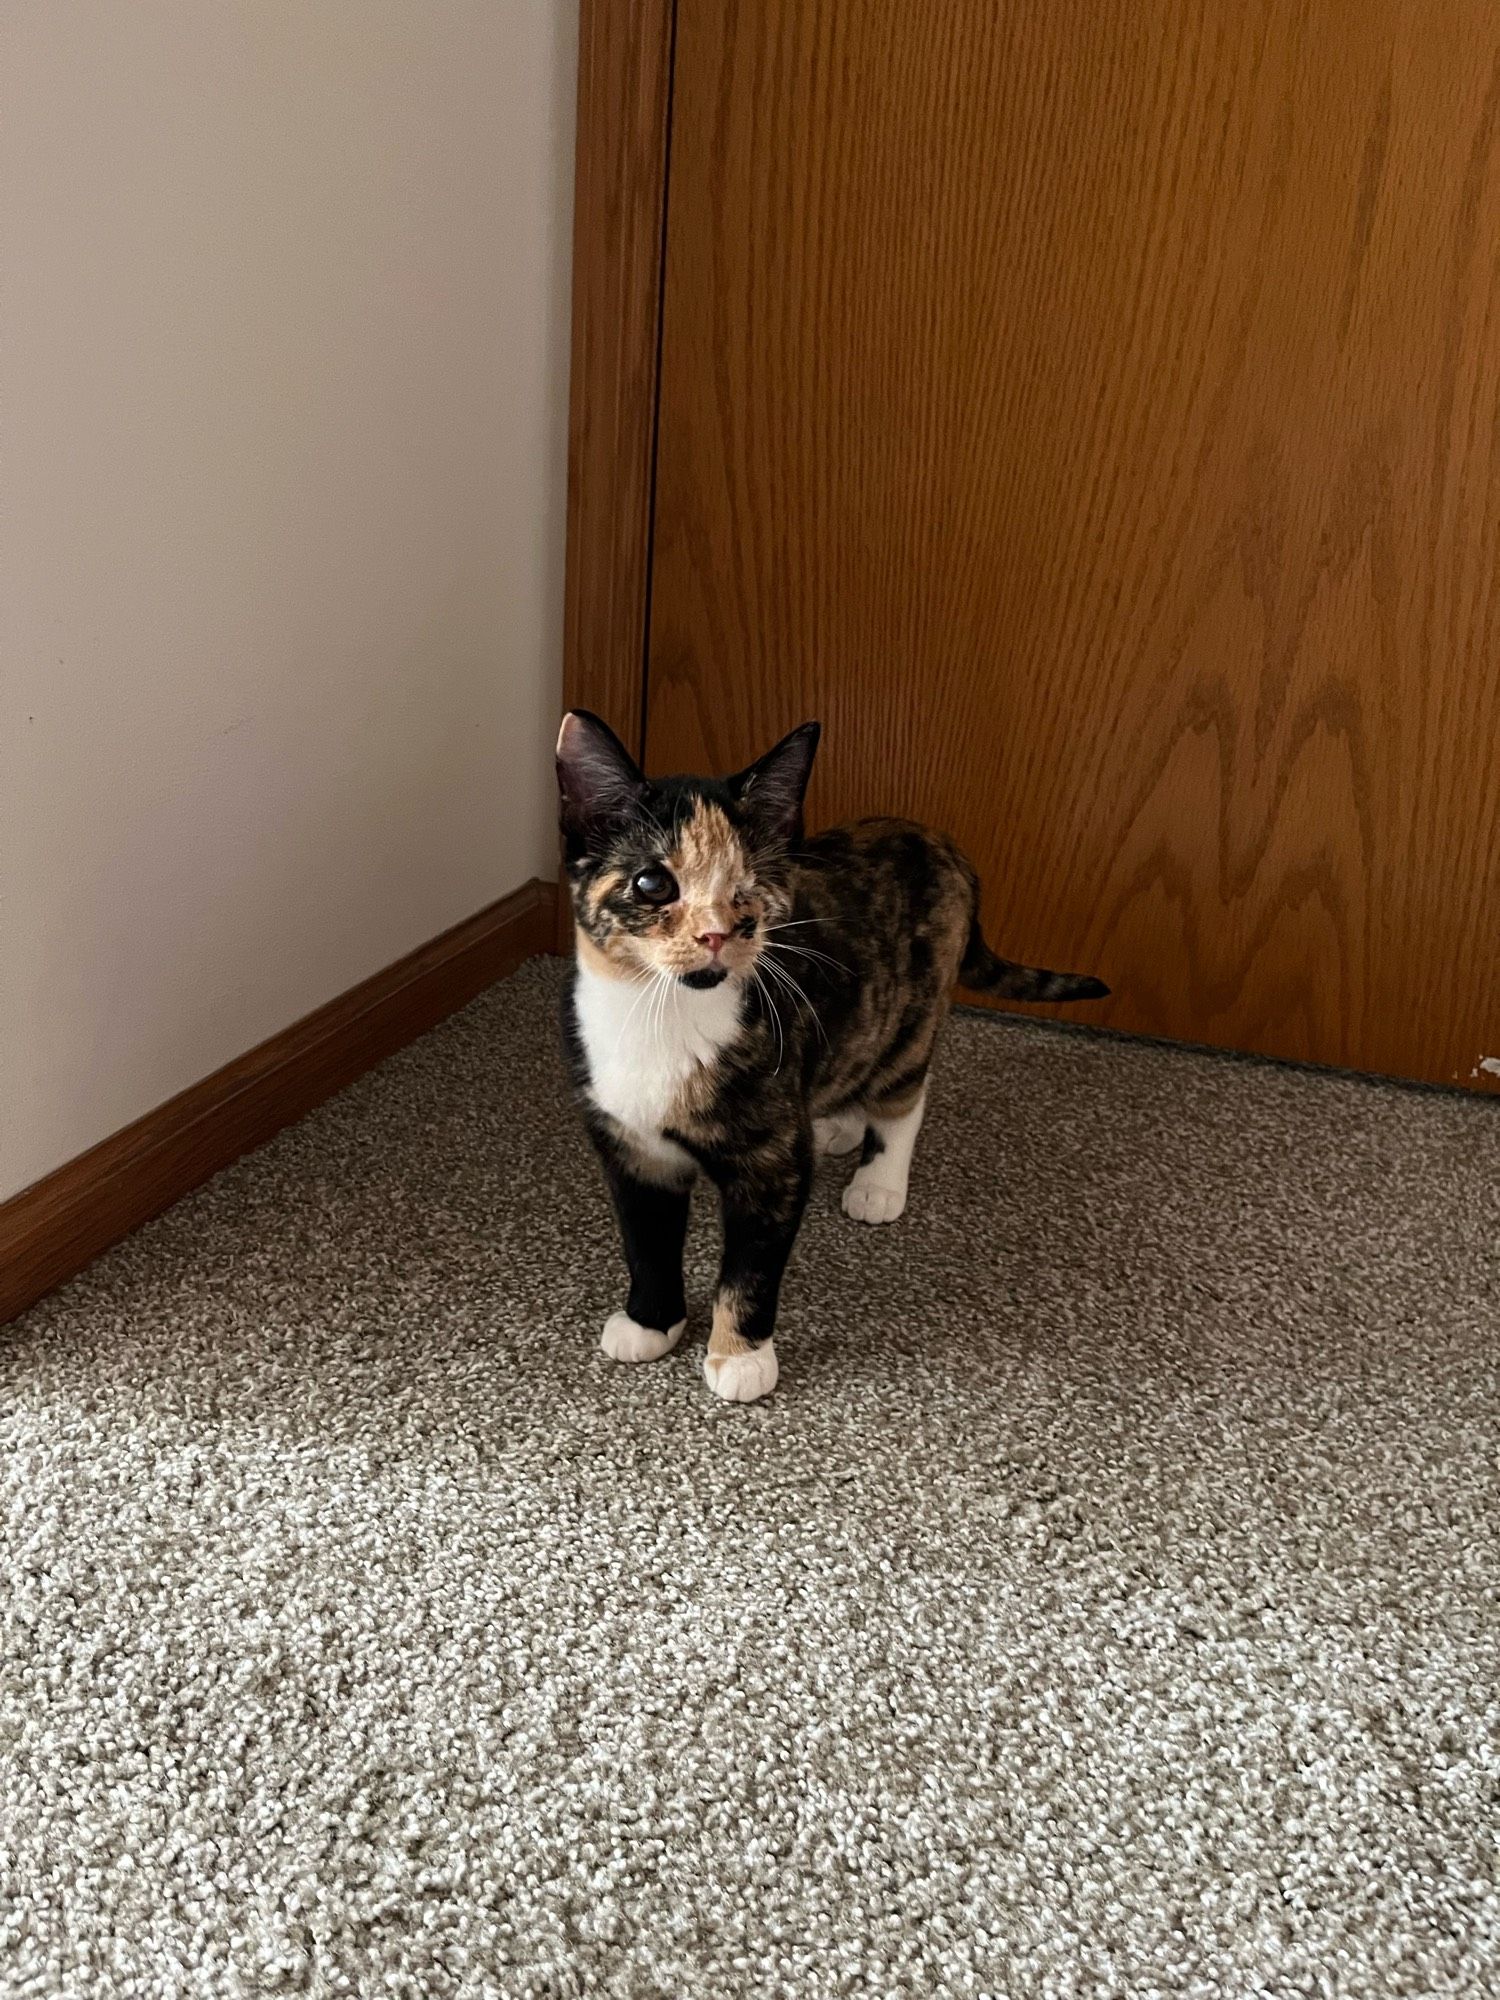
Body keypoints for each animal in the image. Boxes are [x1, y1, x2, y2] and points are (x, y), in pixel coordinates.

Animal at [560, 712, 1112, 1400]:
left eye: (751, 887)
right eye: (653, 882)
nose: (716, 935)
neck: (659, 1016)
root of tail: (935, 838)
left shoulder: (772, 1164)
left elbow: (750, 1270)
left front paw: (740, 1357)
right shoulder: (631, 1148)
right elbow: (646, 1241)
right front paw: (650, 1322)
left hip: (912, 1006)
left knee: (904, 1089)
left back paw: (879, 1181)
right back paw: (838, 1126)